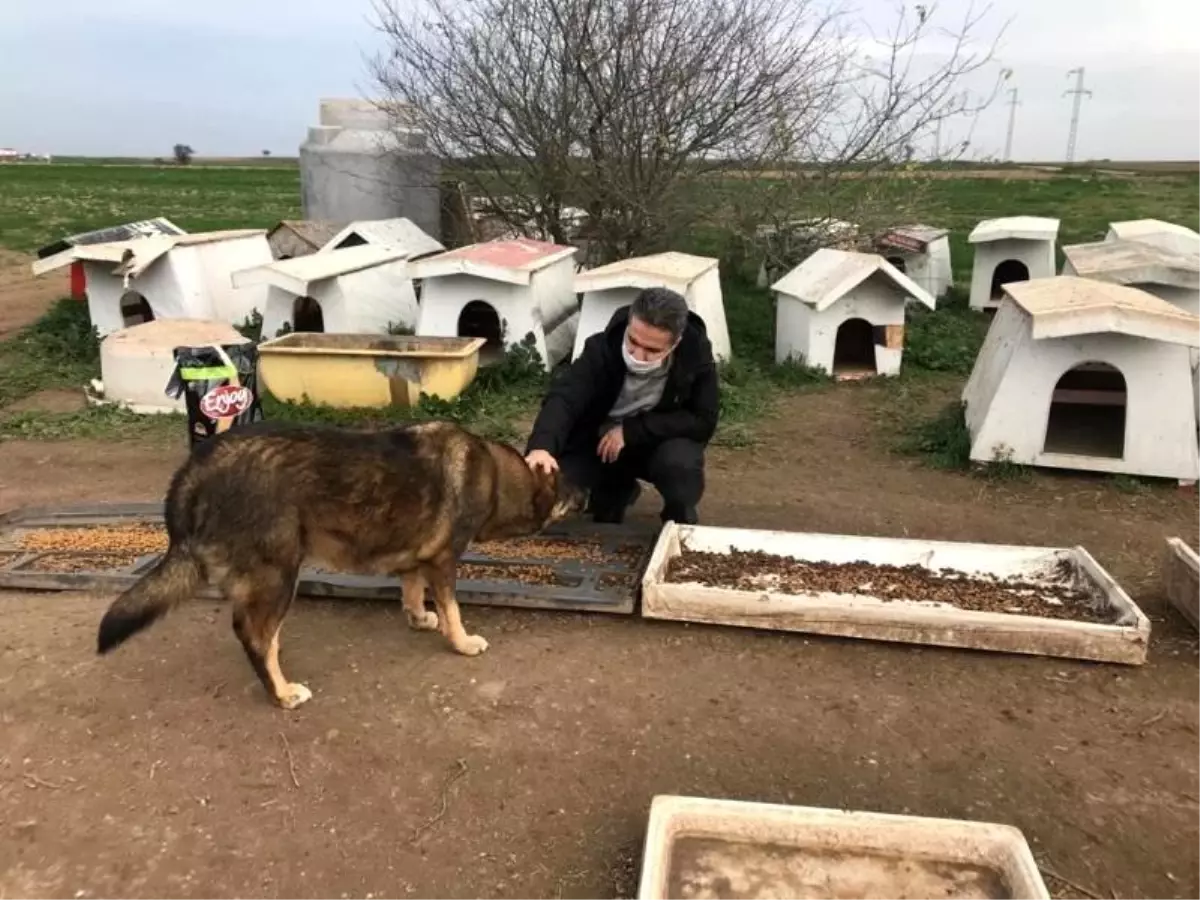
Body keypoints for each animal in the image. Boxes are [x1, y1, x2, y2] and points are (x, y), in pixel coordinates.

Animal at [96, 420, 583, 710]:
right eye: (566, 486)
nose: (588, 491)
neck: (498, 475)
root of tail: (196, 468)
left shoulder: (416, 557)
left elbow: (412, 591)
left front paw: (419, 617)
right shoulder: (444, 562)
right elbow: (454, 610)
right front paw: (461, 642)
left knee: (261, 632)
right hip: (280, 574)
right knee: (253, 634)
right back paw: (281, 692)